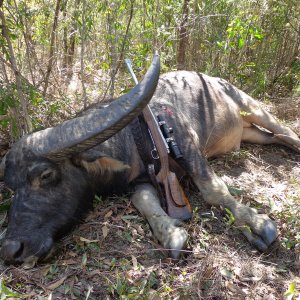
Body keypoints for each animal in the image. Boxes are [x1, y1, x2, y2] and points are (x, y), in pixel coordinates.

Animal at [0, 53, 300, 264]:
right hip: (253, 134)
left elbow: (213, 190)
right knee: (276, 137)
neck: (135, 134)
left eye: (45, 175)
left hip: (252, 106)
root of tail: (214, 79)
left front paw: (256, 225)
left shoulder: (189, 147)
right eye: (12, 187)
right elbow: (143, 201)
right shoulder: (140, 181)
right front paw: (172, 233)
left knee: (286, 131)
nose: (11, 249)